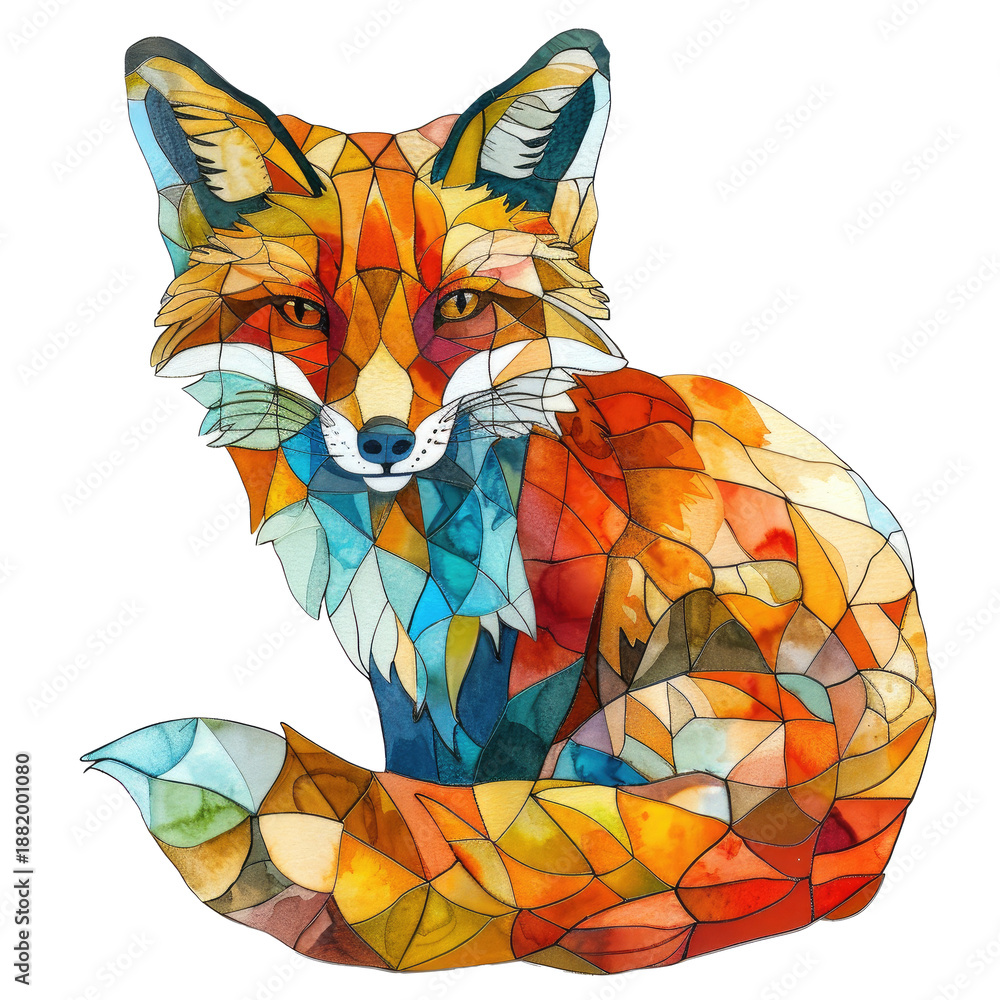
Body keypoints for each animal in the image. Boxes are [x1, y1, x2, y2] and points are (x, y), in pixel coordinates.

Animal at [85, 29, 936, 974]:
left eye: (459, 306)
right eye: (303, 314)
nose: (384, 441)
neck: (418, 541)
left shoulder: (548, 654)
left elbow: (488, 819)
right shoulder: (406, 664)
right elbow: (424, 797)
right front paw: (415, 886)